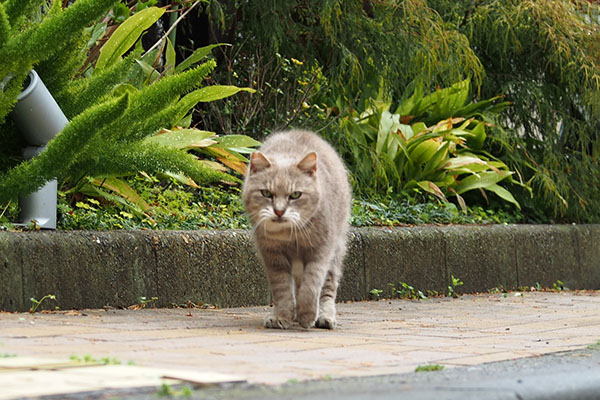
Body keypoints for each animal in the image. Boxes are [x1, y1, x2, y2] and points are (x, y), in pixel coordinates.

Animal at [243, 130, 352, 330]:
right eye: (266, 193)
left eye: (295, 195)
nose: (279, 211)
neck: (290, 236)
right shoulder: (273, 256)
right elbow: (283, 289)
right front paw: (282, 316)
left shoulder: (321, 251)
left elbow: (312, 285)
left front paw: (307, 314)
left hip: (336, 251)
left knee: (327, 289)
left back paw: (325, 317)